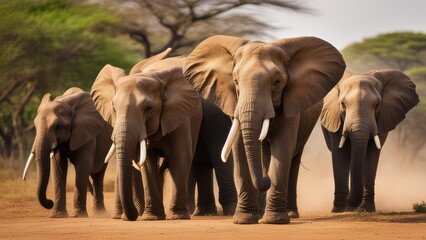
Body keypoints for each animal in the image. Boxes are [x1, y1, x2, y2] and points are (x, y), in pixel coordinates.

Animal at [22, 87, 112, 218]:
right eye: (35, 125)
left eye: (57, 126)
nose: (50, 202)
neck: (67, 104)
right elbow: (58, 166)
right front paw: (57, 215)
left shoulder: (87, 132)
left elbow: (83, 165)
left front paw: (77, 215)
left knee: (98, 174)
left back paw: (100, 214)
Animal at [90, 49, 203, 222]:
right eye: (114, 108)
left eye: (148, 108)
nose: (132, 217)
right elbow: (148, 161)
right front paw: (152, 217)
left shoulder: (178, 115)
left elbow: (180, 156)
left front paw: (178, 217)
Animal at [183, 34, 346, 224]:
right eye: (235, 81)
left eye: (277, 82)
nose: (266, 180)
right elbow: (239, 148)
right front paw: (244, 220)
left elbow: (282, 146)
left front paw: (274, 220)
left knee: (293, 158)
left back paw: (290, 213)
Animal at [322, 69, 418, 212]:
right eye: (343, 105)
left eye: (377, 104)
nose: (349, 201)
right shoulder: (335, 117)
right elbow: (340, 154)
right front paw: (338, 210)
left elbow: (372, 153)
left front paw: (366, 209)